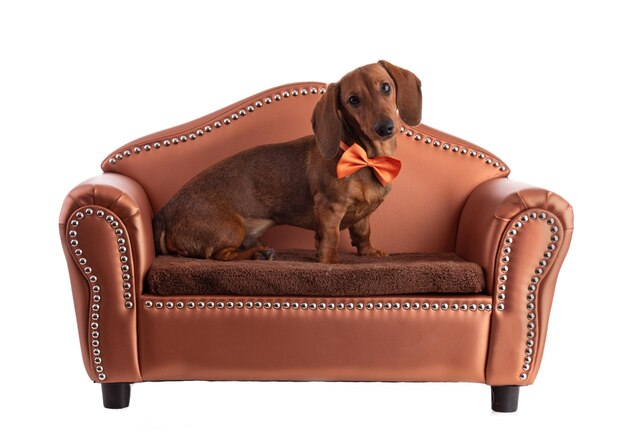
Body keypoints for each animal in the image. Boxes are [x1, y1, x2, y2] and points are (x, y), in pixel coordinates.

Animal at [154, 59, 422, 262]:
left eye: (386, 87)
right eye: (353, 100)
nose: (385, 128)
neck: (365, 158)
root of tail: (165, 214)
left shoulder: (363, 215)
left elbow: (363, 233)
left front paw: (369, 253)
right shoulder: (330, 207)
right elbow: (331, 238)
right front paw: (329, 262)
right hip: (231, 229)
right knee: (220, 255)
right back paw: (258, 254)